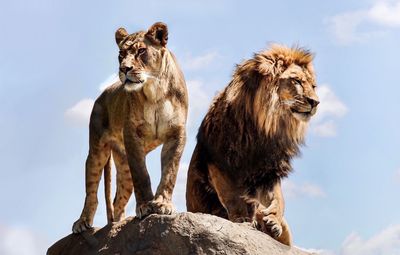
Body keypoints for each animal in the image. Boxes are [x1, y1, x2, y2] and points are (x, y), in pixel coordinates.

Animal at [72, 21, 188, 233]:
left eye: (141, 50)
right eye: (121, 54)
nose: (124, 68)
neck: (155, 90)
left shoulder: (177, 133)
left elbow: (170, 172)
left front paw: (162, 203)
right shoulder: (132, 135)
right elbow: (141, 175)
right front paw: (145, 206)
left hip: (124, 166)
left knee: (118, 200)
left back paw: (117, 225)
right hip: (97, 151)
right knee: (91, 192)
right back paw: (83, 222)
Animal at [186, 44, 320, 246]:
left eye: (313, 86)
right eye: (296, 81)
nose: (316, 102)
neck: (266, 127)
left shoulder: (269, 172)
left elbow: (278, 199)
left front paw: (273, 220)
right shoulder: (220, 163)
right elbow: (233, 197)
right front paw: (244, 219)